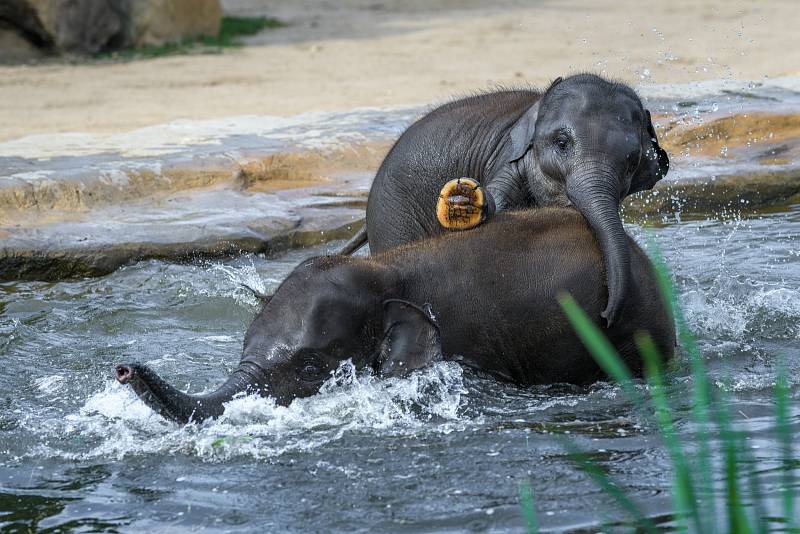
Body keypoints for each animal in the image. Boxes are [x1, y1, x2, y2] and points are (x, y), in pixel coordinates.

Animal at [340, 73, 672, 328]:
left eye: (631, 162)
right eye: (562, 143)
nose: (605, 316)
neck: (537, 104)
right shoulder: (508, 159)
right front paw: (466, 203)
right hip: (392, 217)